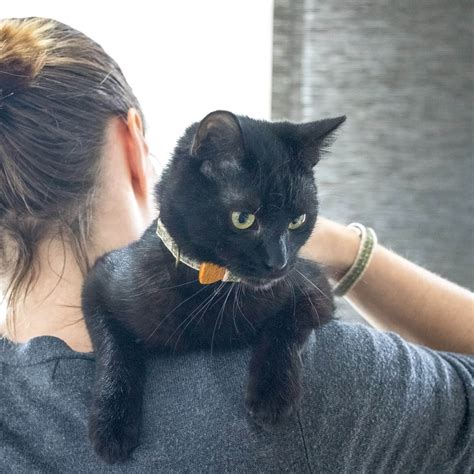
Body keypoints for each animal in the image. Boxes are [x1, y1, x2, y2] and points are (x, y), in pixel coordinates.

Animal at [82, 109, 344, 462]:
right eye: (243, 219)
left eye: (297, 221)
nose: (279, 263)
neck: (214, 286)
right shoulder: (99, 281)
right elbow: (114, 349)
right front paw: (112, 424)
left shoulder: (313, 285)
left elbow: (285, 326)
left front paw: (273, 395)